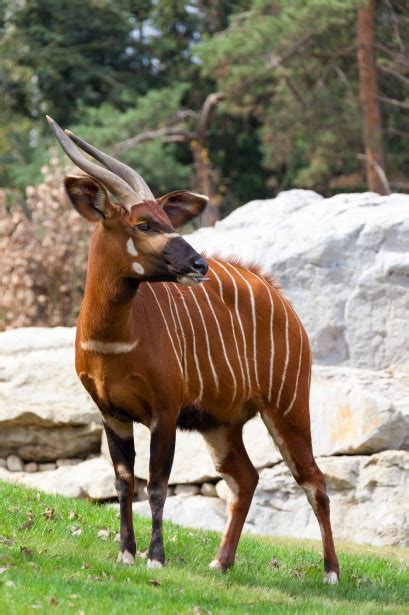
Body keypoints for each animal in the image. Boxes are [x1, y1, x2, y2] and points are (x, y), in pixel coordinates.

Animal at [46, 114, 340, 584]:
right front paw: (125, 553)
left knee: (314, 480)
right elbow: (123, 482)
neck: (114, 341)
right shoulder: (112, 414)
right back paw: (220, 562)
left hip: (288, 408)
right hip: (220, 424)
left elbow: (156, 485)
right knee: (245, 479)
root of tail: (281, 300)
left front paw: (156, 558)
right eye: (144, 224)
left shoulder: (164, 413)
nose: (198, 264)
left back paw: (331, 573)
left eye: (167, 219)